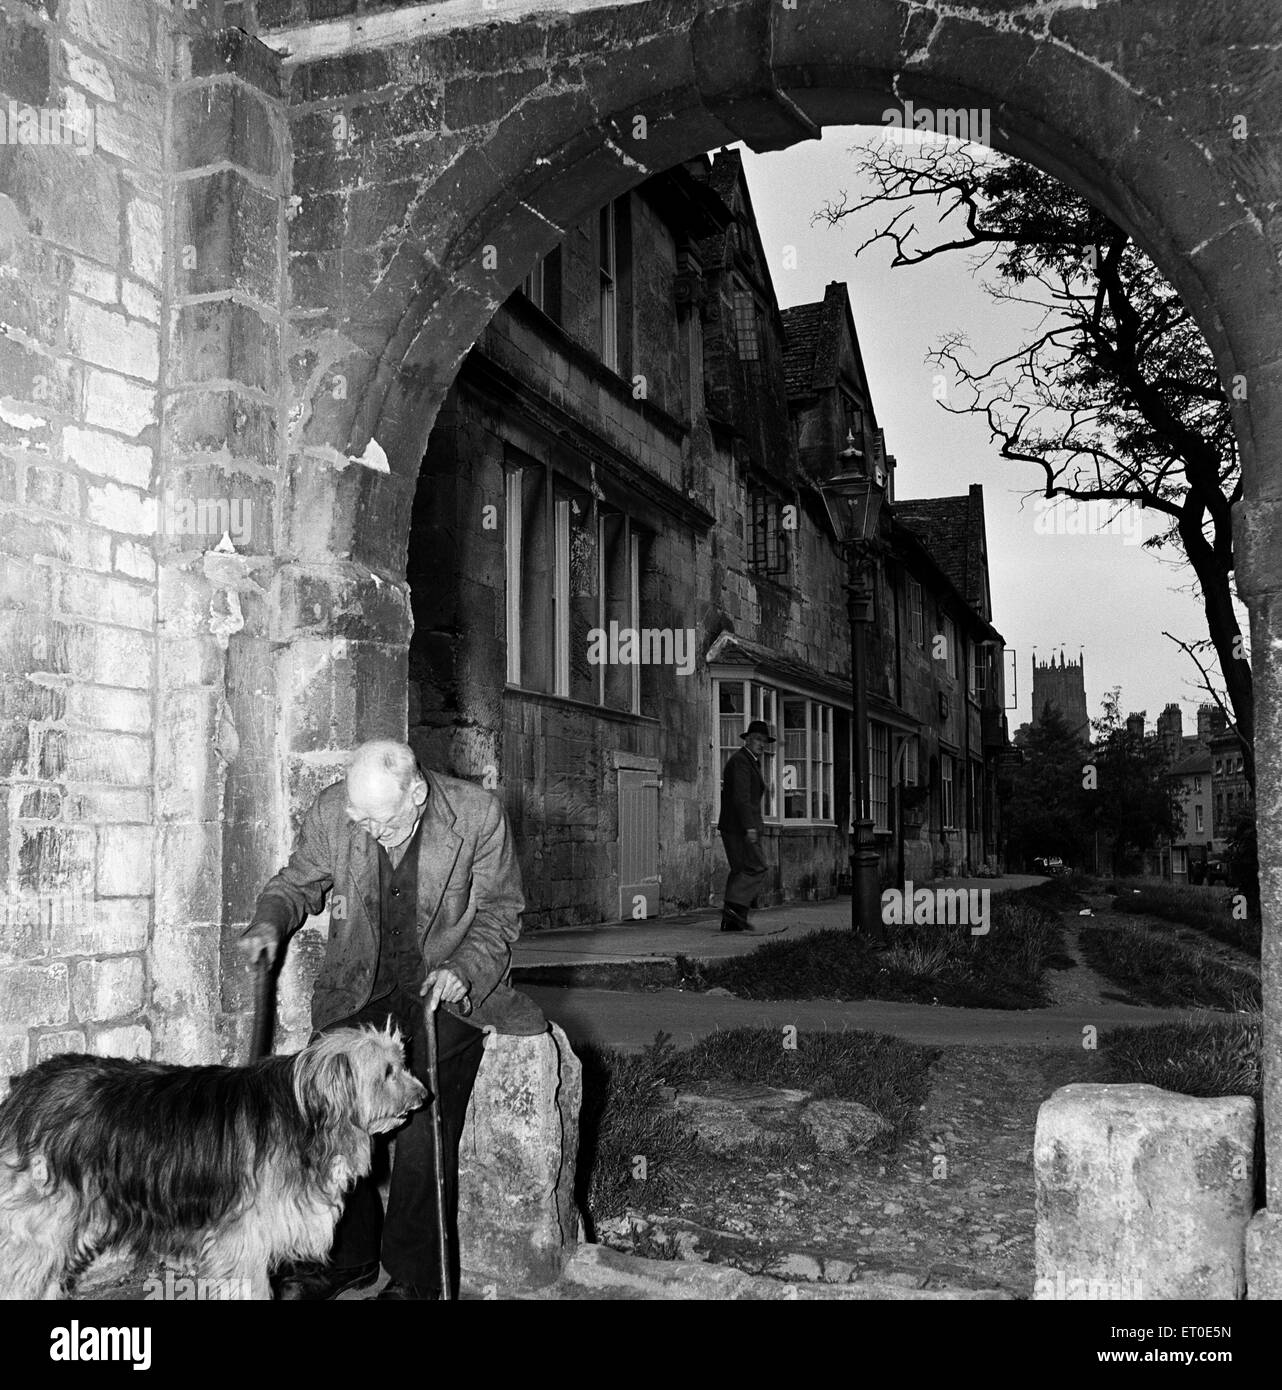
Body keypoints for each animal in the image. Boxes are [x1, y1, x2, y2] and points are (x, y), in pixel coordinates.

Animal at [0, 1023, 431, 1301]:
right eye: (387, 1072)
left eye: (402, 1063)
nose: (426, 1096)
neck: (306, 1111)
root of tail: (28, 1088)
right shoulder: (244, 1241)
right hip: (42, 1222)